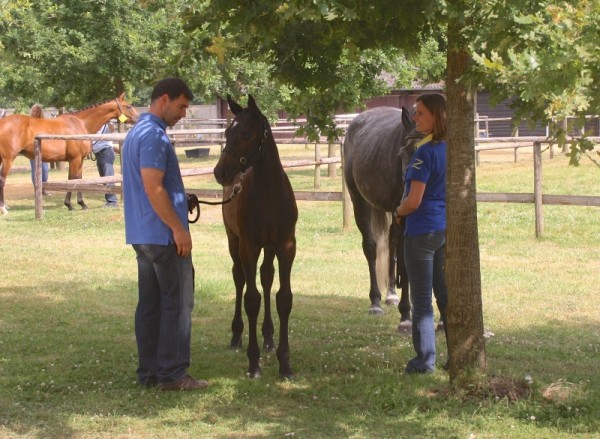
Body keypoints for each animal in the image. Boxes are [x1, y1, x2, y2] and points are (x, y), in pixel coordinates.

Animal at [0, 93, 137, 214]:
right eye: (129, 106)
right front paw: (69, 205)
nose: (137, 118)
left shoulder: (80, 159)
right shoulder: (74, 159)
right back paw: (4, 209)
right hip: (8, 159)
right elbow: (71, 180)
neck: (81, 123)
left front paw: (82, 204)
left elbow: (79, 180)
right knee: (2, 180)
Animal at [213, 96, 298, 382]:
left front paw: (285, 364)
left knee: (266, 276)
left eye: (247, 134)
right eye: (226, 133)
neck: (269, 193)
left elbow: (283, 298)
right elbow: (251, 299)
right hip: (233, 241)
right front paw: (254, 364)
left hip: (268, 247)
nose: (220, 172)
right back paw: (236, 336)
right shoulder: (248, 246)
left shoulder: (286, 245)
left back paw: (269, 338)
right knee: (239, 278)